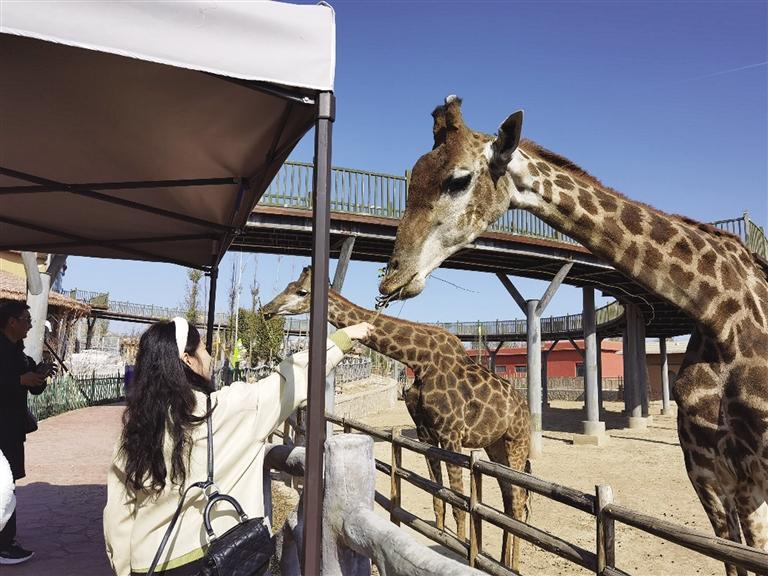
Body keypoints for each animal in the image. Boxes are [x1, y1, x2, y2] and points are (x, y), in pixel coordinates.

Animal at [260, 266, 532, 572]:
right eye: (289, 285)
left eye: (302, 291)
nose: (266, 309)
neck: (418, 360)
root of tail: (523, 407)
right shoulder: (426, 434)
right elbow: (438, 498)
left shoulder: (451, 434)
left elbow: (458, 504)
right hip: (495, 446)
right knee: (510, 500)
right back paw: (505, 562)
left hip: (516, 442)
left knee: (518, 501)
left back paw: (514, 566)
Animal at [378, 97, 768, 572]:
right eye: (412, 179)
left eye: (459, 179)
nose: (393, 277)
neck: (718, 312)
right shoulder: (708, 474)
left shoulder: (750, 473)